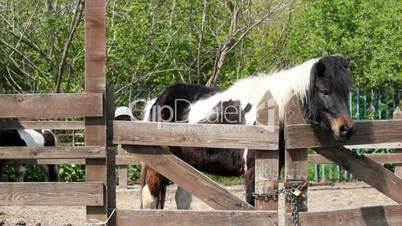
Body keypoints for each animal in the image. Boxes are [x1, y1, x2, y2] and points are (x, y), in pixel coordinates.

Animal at [140, 54, 354, 208]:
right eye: (324, 91)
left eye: (346, 91)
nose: (346, 129)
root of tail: (157, 100)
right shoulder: (252, 171)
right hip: (159, 165)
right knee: (150, 198)